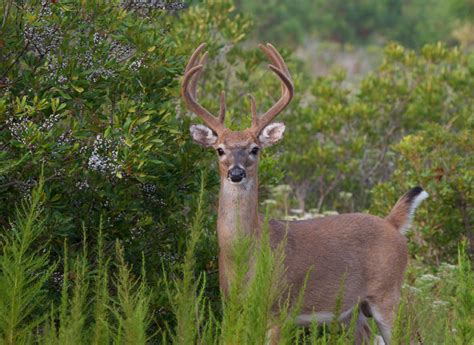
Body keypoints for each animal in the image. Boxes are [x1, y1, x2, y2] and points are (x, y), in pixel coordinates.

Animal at [181, 43, 426, 344]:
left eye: (255, 149)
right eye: (219, 149)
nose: (236, 173)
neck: (243, 254)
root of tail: (392, 224)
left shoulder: (277, 310)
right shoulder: (231, 306)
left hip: (387, 293)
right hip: (353, 311)